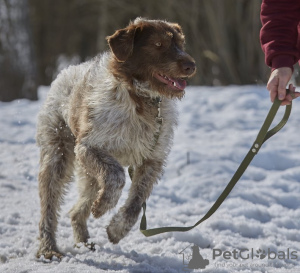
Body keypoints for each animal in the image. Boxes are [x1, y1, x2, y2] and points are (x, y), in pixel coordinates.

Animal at [36, 18, 196, 258]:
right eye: (158, 44)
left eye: (181, 43)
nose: (191, 65)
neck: (141, 98)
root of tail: (67, 70)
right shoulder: (88, 147)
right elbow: (116, 176)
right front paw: (103, 206)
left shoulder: (152, 160)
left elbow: (135, 205)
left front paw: (116, 230)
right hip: (59, 157)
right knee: (49, 206)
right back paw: (49, 248)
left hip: (89, 175)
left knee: (75, 211)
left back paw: (84, 242)